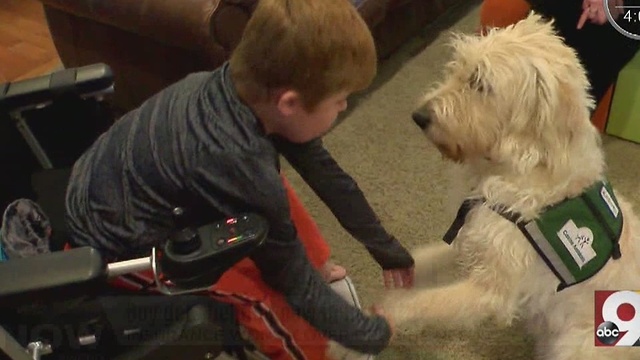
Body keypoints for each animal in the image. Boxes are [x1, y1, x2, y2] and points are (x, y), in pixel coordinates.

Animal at [380, 12, 640, 358]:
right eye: (458, 67)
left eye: (480, 83)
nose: (419, 116)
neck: (524, 166)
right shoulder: (474, 231)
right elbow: (426, 257)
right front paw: (399, 272)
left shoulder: (490, 291)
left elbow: (427, 302)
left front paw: (385, 312)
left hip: (575, 345)